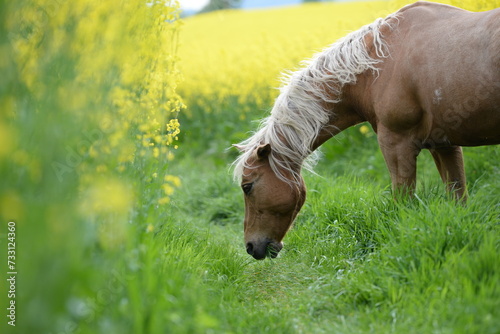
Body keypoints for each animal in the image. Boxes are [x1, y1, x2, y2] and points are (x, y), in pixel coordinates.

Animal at [233, 1, 500, 260]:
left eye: (247, 186)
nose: (251, 247)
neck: (376, 67)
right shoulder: (445, 146)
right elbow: (458, 197)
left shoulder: (396, 146)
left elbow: (404, 202)